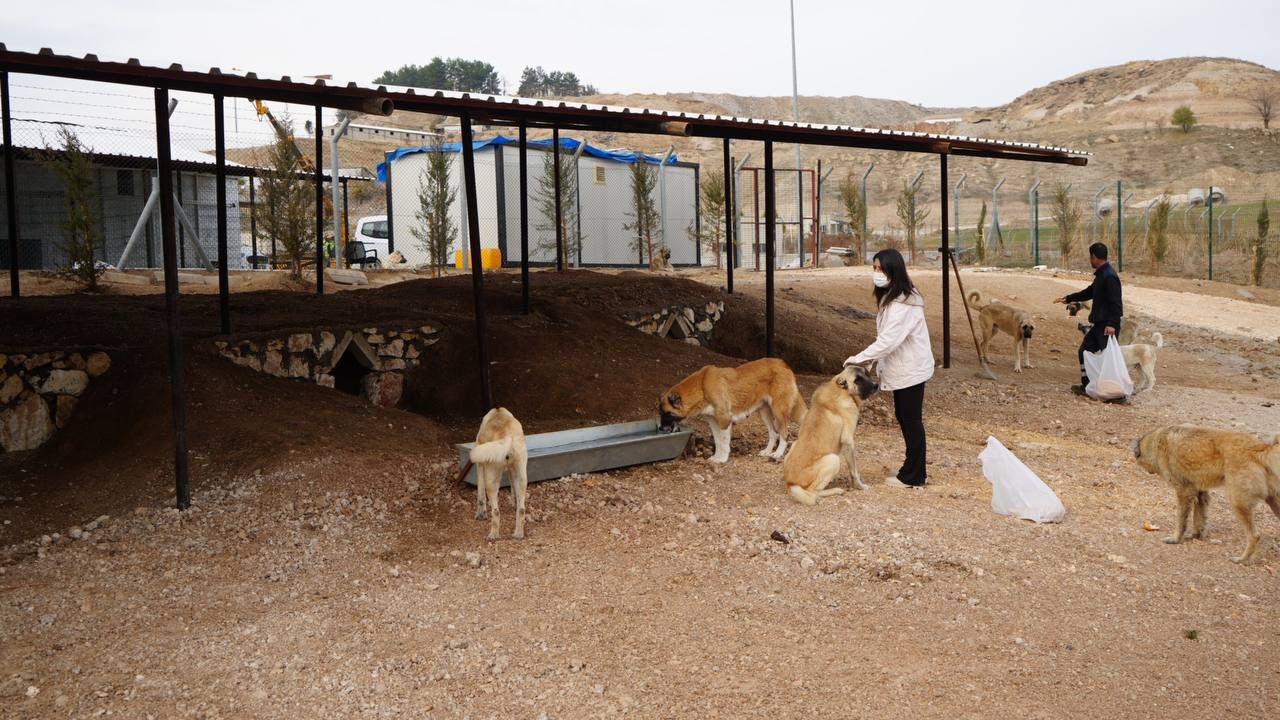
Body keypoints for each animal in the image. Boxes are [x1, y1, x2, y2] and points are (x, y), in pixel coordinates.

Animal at [1131, 422, 1280, 563]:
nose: (1148, 471)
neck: (1157, 441)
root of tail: (1261, 447)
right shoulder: (1200, 493)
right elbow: (1199, 517)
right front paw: (1196, 535)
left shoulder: (1183, 492)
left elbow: (1181, 520)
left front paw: (1176, 538)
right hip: (1272, 502)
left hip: (1239, 503)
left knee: (1254, 536)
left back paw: (1243, 559)